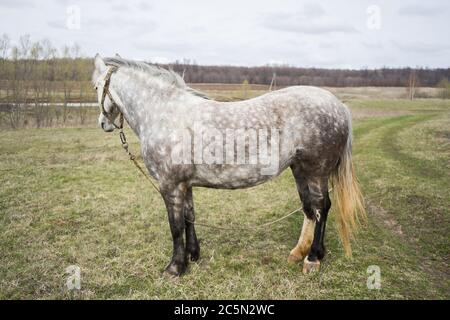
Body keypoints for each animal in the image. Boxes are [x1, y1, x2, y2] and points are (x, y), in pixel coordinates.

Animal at [92, 55, 366, 278]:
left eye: (95, 86)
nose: (103, 124)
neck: (165, 114)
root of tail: (339, 106)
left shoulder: (170, 185)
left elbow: (175, 226)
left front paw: (175, 267)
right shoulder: (185, 184)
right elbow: (189, 217)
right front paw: (193, 256)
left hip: (316, 171)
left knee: (321, 207)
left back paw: (313, 258)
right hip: (300, 170)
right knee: (309, 209)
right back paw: (299, 252)